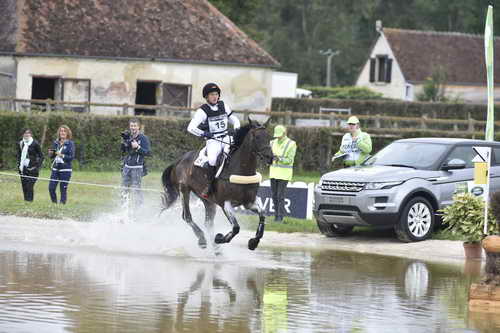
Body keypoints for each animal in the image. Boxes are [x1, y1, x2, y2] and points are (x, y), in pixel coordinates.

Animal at [161, 118, 274, 249]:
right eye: (256, 137)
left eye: (269, 137)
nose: (270, 157)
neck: (241, 170)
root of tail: (179, 160)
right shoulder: (226, 203)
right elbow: (236, 228)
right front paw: (220, 238)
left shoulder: (249, 203)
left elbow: (262, 217)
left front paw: (253, 242)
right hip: (184, 190)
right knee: (187, 217)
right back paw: (202, 239)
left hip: (208, 200)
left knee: (208, 222)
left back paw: (216, 249)